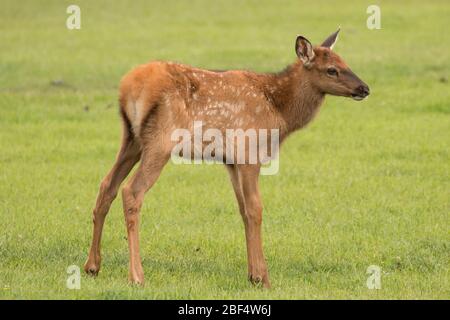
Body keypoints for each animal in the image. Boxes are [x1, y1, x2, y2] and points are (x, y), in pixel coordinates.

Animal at [84, 28, 370, 288]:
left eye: (345, 62)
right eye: (331, 69)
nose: (364, 88)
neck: (279, 112)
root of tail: (127, 88)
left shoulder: (230, 161)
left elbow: (243, 210)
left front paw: (252, 275)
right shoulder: (249, 151)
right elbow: (255, 209)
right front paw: (263, 278)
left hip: (131, 140)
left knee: (107, 185)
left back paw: (92, 266)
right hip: (160, 141)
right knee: (131, 191)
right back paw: (136, 276)